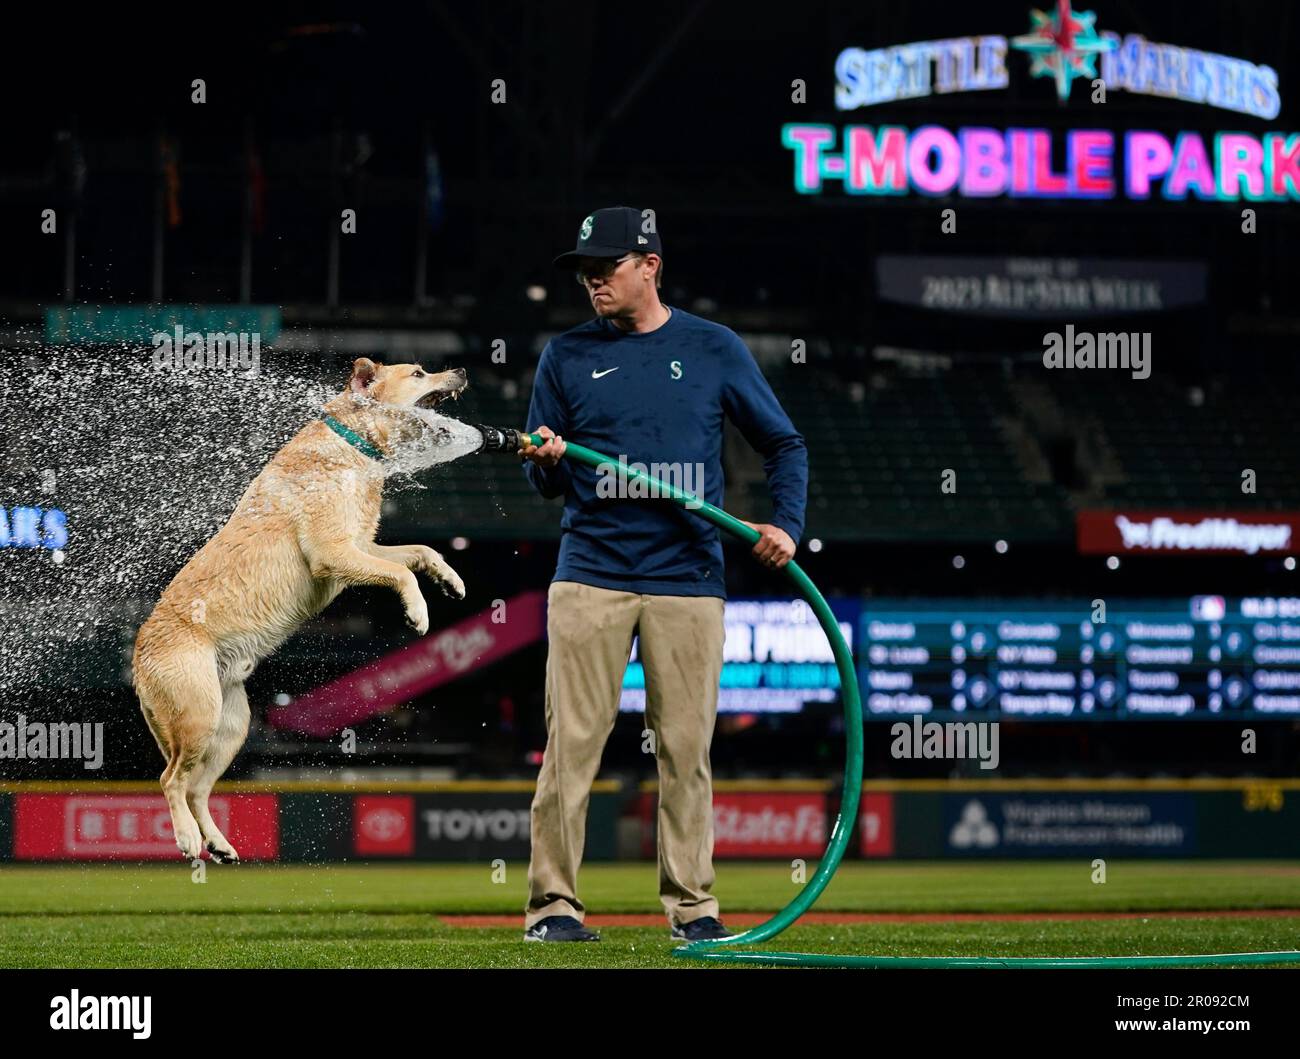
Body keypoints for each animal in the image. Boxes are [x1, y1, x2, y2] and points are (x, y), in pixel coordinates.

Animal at [130, 356, 467, 862]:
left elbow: (418, 553)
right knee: (171, 780)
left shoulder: (360, 548)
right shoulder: (334, 554)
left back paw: (218, 843)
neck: (352, 444)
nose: (463, 371)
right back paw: (188, 839)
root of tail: (137, 655)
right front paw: (418, 611)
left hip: (230, 725)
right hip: (198, 713)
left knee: (196, 788)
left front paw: (449, 579)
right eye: (419, 374)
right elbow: (402, 573)